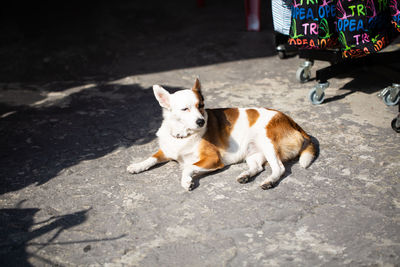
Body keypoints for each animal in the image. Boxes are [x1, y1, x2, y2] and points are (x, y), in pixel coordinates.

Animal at [128, 78, 316, 192]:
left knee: (279, 168)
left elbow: (188, 167)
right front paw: (137, 166)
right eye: (185, 109)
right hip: (252, 153)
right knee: (258, 167)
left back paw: (269, 181)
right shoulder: (166, 151)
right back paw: (246, 176)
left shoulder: (213, 159)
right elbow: (151, 158)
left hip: (268, 144)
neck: (184, 134)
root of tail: (293, 123)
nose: (201, 121)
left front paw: (186, 181)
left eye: (201, 105)